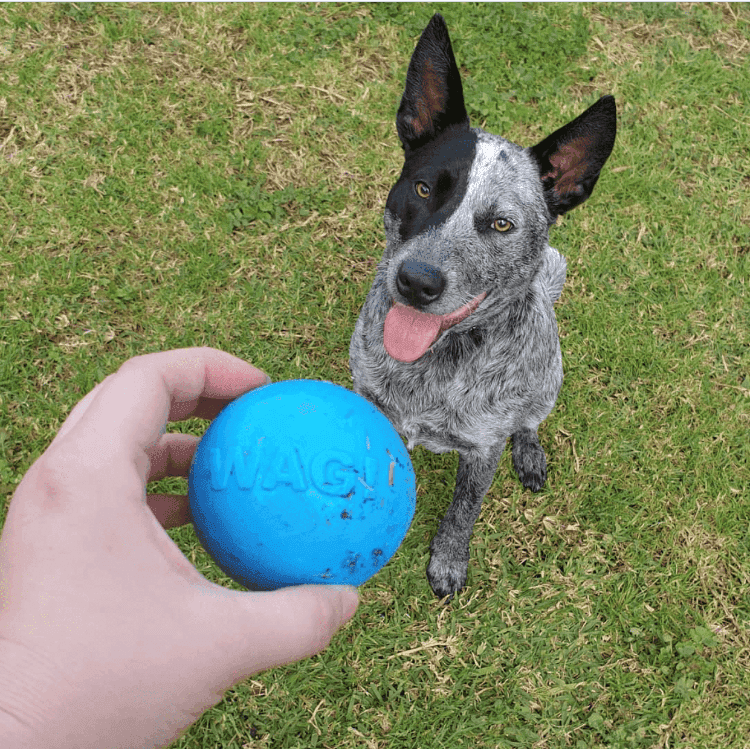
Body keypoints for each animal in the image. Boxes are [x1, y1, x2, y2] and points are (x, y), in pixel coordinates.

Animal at [352, 13, 616, 596]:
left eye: (500, 224)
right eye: (424, 188)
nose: (417, 281)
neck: (431, 365)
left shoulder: (481, 448)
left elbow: (464, 508)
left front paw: (449, 559)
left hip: (547, 382)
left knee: (530, 420)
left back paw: (530, 450)